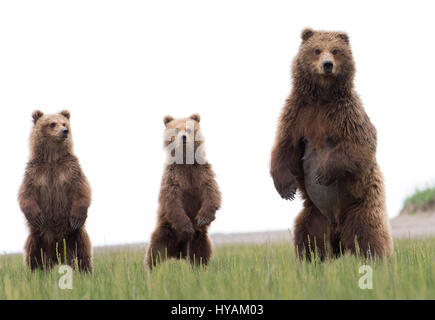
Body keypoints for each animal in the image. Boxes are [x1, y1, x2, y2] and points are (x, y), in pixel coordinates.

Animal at [19, 110, 93, 272]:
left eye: (64, 123)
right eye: (52, 123)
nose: (65, 131)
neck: (52, 157)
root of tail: (58, 256)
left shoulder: (70, 170)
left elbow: (82, 190)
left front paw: (77, 217)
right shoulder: (34, 173)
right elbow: (26, 194)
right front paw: (37, 217)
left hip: (75, 237)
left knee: (83, 254)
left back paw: (86, 272)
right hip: (38, 238)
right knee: (33, 255)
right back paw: (35, 272)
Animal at [146, 114, 221, 268]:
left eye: (189, 129)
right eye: (176, 130)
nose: (184, 137)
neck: (186, 161)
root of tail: (178, 252)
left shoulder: (201, 172)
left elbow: (211, 191)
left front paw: (203, 218)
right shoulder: (173, 176)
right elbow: (171, 198)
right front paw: (187, 226)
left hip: (198, 238)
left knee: (201, 253)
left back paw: (199, 269)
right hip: (165, 230)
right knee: (155, 251)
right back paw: (151, 270)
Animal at [270, 28, 394, 260]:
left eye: (335, 50)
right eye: (317, 50)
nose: (327, 64)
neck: (321, 97)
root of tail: (337, 229)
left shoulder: (345, 113)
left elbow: (360, 144)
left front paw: (323, 172)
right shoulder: (298, 114)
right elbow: (285, 147)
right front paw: (286, 188)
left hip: (360, 204)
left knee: (368, 234)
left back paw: (378, 259)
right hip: (315, 215)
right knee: (307, 237)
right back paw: (309, 261)